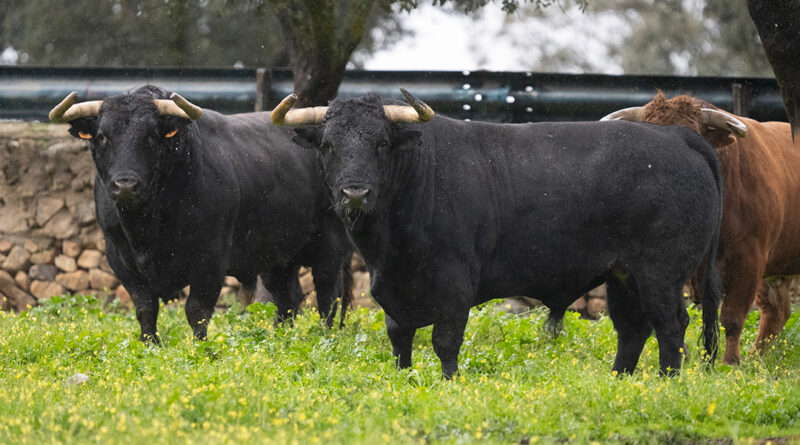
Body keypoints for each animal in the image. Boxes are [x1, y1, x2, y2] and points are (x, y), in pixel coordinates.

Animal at [274, 88, 732, 376]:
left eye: (381, 144)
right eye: (328, 146)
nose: (355, 192)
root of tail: (677, 137)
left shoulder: (455, 286)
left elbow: (445, 342)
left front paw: (450, 383)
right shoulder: (393, 292)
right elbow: (399, 340)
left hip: (661, 273)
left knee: (671, 326)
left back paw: (667, 381)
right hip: (625, 276)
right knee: (632, 329)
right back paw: (619, 381)